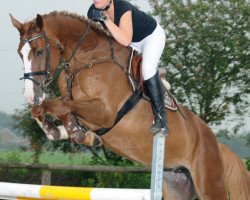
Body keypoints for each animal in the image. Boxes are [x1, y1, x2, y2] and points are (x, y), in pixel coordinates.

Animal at [10, 11, 249, 199]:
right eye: (20, 53)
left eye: (40, 51)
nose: (31, 95)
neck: (86, 60)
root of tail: (217, 145)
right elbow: (53, 108)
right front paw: (62, 131)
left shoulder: (105, 112)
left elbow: (61, 105)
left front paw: (75, 133)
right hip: (176, 184)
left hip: (210, 185)